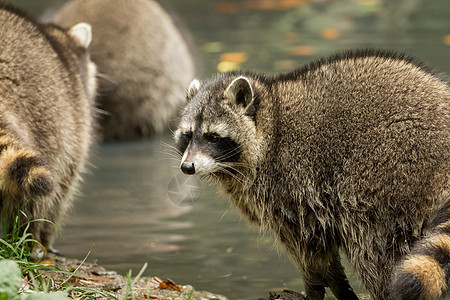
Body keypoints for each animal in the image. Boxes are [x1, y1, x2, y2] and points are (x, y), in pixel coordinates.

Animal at [0, 4, 97, 251]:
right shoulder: (75, 123)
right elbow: (61, 192)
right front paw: (44, 236)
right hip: (46, 123)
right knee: (35, 201)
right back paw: (29, 240)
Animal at [174, 51, 448, 300]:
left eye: (213, 137)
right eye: (188, 135)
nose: (187, 167)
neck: (271, 122)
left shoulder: (294, 187)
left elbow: (310, 250)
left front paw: (317, 288)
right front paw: (339, 288)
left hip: (385, 173)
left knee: (372, 247)